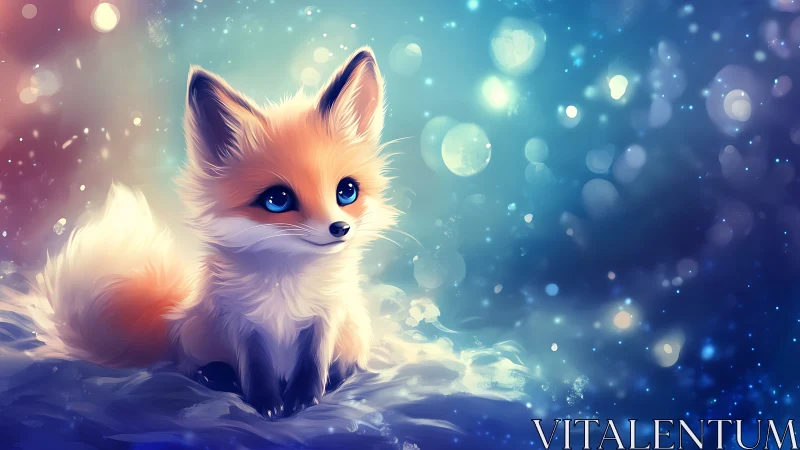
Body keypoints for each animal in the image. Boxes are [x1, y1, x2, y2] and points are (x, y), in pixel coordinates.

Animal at [12, 48, 398, 418]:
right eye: (278, 200)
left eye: (346, 191)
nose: (340, 228)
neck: (287, 285)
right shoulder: (240, 323)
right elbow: (255, 371)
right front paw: (266, 404)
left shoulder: (325, 318)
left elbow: (312, 367)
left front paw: (302, 400)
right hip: (199, 333)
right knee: (188, 365)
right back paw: (216, 375)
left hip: (354, 330)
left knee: (348, 363)